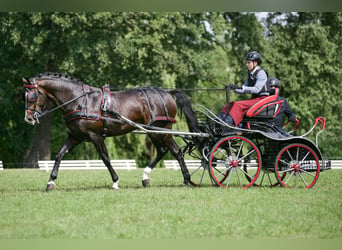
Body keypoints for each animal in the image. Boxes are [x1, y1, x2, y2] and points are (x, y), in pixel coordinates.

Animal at [22, 72, 200, 191]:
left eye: (31, 96)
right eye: (23, 96)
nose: (28, 118)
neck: (80, 101)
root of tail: (167, 93)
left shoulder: (95, 136)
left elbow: (105, 158)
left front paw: (115, 182)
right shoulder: (75, 137)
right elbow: (60, 154)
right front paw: (51, 182)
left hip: (156, 130)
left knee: (165, 150)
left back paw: (152, 176)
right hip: (161, 131)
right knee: (174, 151)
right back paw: (181, 179)